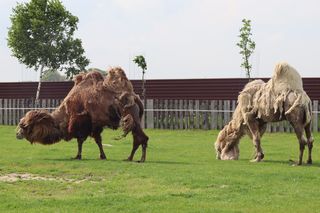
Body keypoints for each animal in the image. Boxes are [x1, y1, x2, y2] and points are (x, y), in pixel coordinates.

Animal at [16, 67, 149, 162]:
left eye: (25, 126)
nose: (17, 134)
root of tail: (135, 98)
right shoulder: (95, 126)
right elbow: (97, 141)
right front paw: (102, 156)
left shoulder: (82, 123)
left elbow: (80, 141)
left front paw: (78, 156)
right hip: (134, 120)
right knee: (139, 138)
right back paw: (131, 158)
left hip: (131, 117)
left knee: (141, 138)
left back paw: (137, 159)